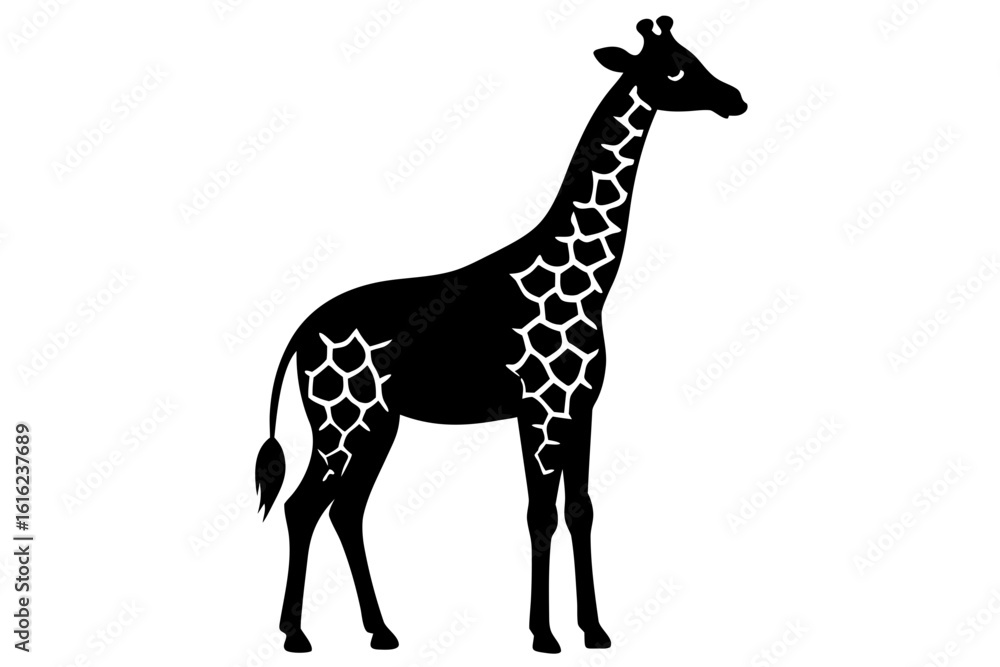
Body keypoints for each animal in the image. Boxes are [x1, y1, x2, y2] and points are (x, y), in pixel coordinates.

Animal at [254, 16, 746, 654]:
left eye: (691, 55)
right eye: (677, 69)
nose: (734, 98)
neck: (591, 284)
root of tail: (301, 331)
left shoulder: (581, 409)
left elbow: (580, 509)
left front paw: (594, 630)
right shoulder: (539, 410)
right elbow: (540, 513)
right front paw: (544, 635)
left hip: (379, 423)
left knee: (345, 510)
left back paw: (381, 631)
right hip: (342, 419)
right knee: (303, 506)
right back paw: (296, 635)